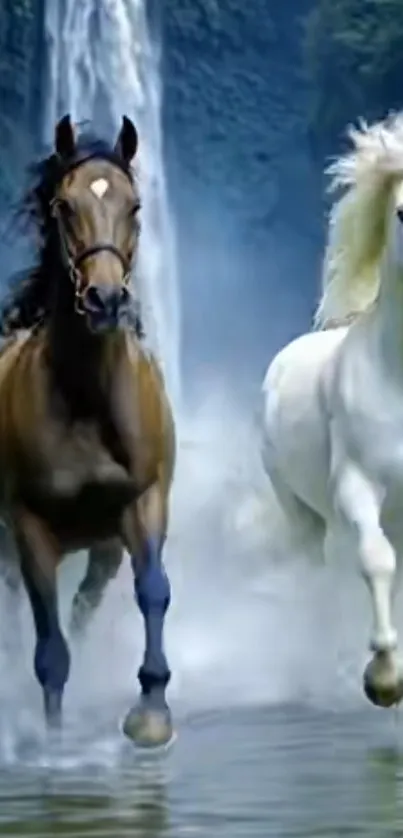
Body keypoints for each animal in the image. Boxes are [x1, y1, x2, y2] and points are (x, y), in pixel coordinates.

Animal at [0, 113, 176, 748]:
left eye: (135, 205)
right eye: (63, 205)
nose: (104, 299)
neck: (86, 399)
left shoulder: (143, 503)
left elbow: (153, 590)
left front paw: (151, 708)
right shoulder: (28, 527)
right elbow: (49, 644)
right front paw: (52, 739)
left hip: (100, 549)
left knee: (82, 607)